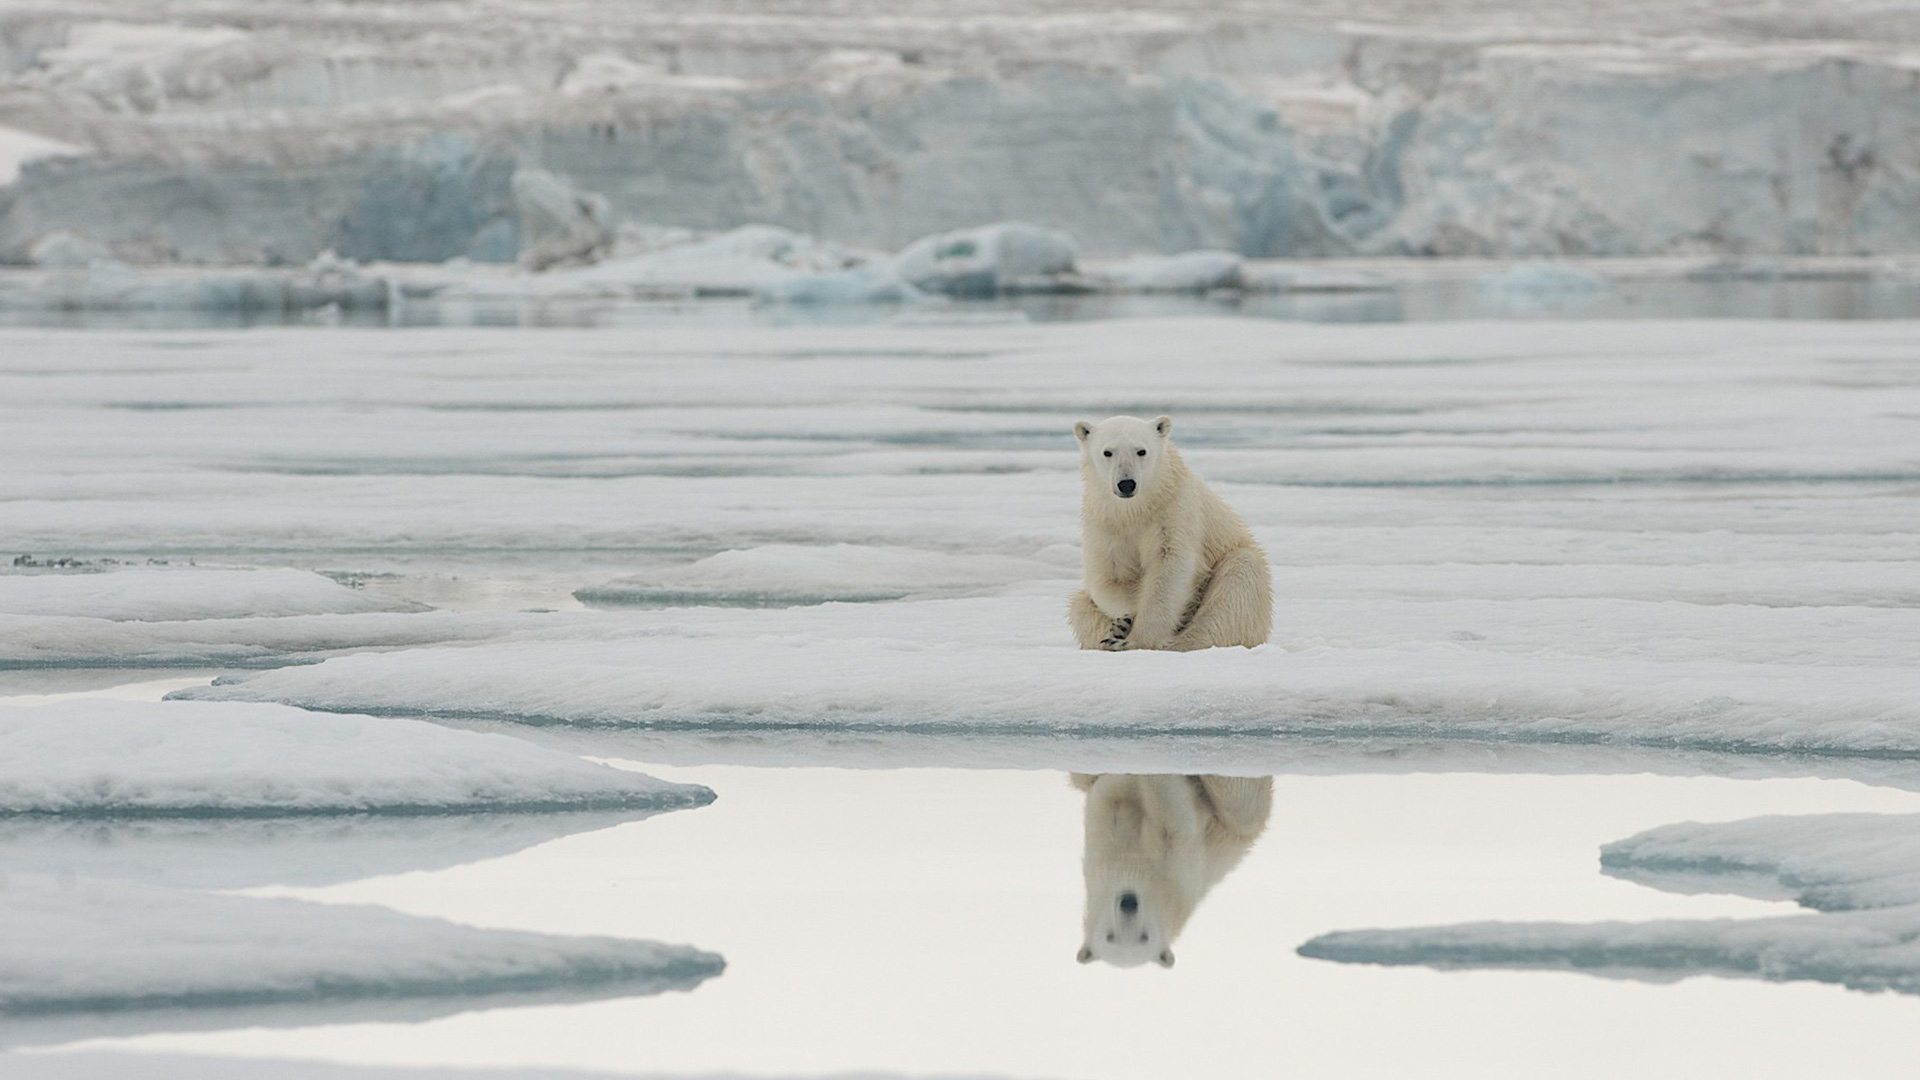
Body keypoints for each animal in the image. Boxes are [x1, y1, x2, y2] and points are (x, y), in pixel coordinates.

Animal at [1075, 411, 1267, 645]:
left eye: (1141, 451)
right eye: (1107, 452)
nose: (1127, 484)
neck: (1137, 509)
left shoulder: (1173, 509)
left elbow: (1171, 565)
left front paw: (1139, 638)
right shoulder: (1104, 522)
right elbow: (1107, 578)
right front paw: (1123, 623)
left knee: (1237, 582)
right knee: (1079, 607)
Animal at [1075, 768, 1267, 960]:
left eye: (1145, 937)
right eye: (1110, 937)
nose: (1129, 902)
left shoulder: (1177, 870)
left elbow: (1176, 815)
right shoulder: (1102, 840)